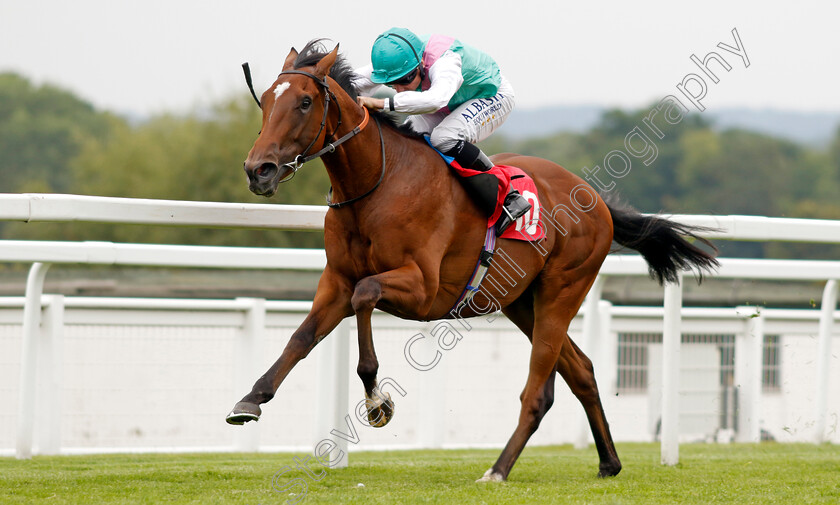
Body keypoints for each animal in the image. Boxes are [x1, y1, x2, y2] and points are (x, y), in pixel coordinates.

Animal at [226, 40, 720, 480]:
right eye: (265, 101)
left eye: (305, 101)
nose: (257, 170)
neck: (378, 184)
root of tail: (597, 201)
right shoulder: (336, 280)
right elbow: (302, 337)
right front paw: (250, 399)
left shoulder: (421, 288)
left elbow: (366, 297)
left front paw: (377, 401)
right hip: (520, 301)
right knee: (581, 371)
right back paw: (609, 462)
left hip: (563, 290)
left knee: (537, 392)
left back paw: (498, 470)